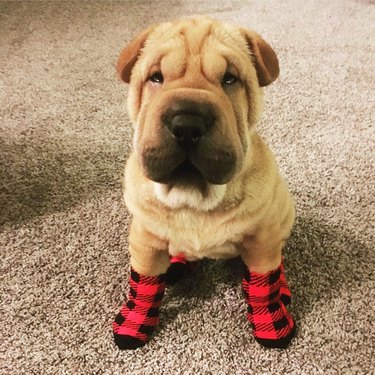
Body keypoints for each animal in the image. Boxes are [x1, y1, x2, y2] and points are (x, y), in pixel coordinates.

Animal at [111, 16, 296, 352]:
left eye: (229, 79)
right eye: (156, 77)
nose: (187, 125)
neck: (193, 198)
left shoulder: (262, 242)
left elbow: (264, 288)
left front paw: (274, 325)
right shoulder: (144, 242)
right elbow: (143, 285)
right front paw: (133, 324)